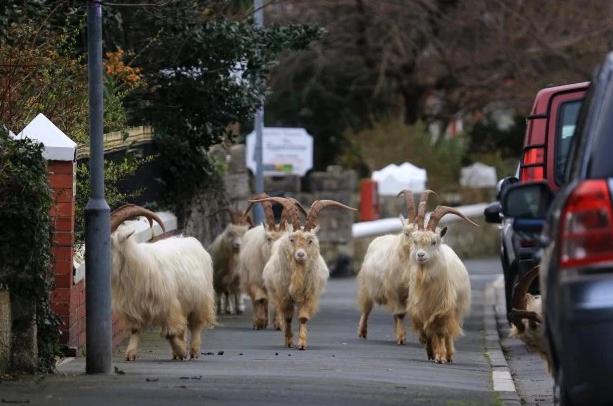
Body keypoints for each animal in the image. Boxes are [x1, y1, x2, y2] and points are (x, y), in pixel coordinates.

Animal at [110, 205, 215, 360]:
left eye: (109, 242)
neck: (139, 264)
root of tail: (192, 241)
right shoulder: (134, 306)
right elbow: (135, 330)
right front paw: (130, 354)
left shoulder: (168, 305)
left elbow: (169, 333)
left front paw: (182, 351)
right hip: (184, 302)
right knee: (183, 326)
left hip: (200, 299)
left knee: (195, 325)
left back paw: (193, 351)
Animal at [256, 198, 356, 350]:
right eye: (292, 239)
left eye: (310, 240)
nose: (300, 255)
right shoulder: (285, 295)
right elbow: (288, 317)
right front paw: (289, 341)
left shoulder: (309, 294)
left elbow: (303, 317)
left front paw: (302, 343)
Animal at [356, 192, 438, 344]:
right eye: (407, 233)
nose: (418, 252)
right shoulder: (393, 289)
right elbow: (399, 314)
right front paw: (401, 338)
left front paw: (421, 337)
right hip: (367, 287)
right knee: (366, 309)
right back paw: (362, 332)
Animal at [406, 205, 478, 364]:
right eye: (415, 241)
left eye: (433, 242)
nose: (420, 255)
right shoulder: (420, 309)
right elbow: (426, 331)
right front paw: (431, 352)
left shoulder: (443, 308)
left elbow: (440, 332)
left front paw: (440, 356)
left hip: (455, 309)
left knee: (447, 333)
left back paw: (448, 354)